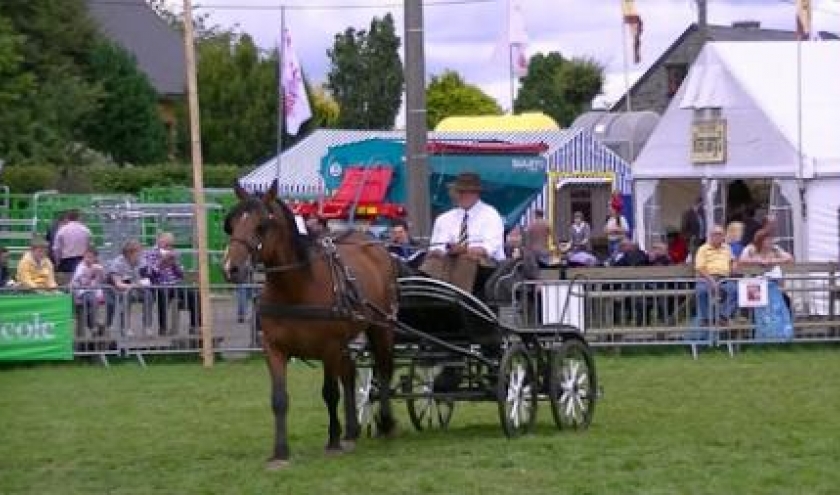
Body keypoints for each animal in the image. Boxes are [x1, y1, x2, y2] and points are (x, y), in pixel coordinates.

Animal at [220, 181, 398, 468]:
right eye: (231, 224)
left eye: (261, 226)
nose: (230, 268)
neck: (296, 288)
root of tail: (374, 244)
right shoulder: (274, 349)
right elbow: (279, 399)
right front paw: (280, 452)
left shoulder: (329, 347)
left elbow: (330, 393)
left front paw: (333, 441)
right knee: (350, 373)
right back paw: (352, 431)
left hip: (381, 327)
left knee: (382, 369)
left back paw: (385, 423)